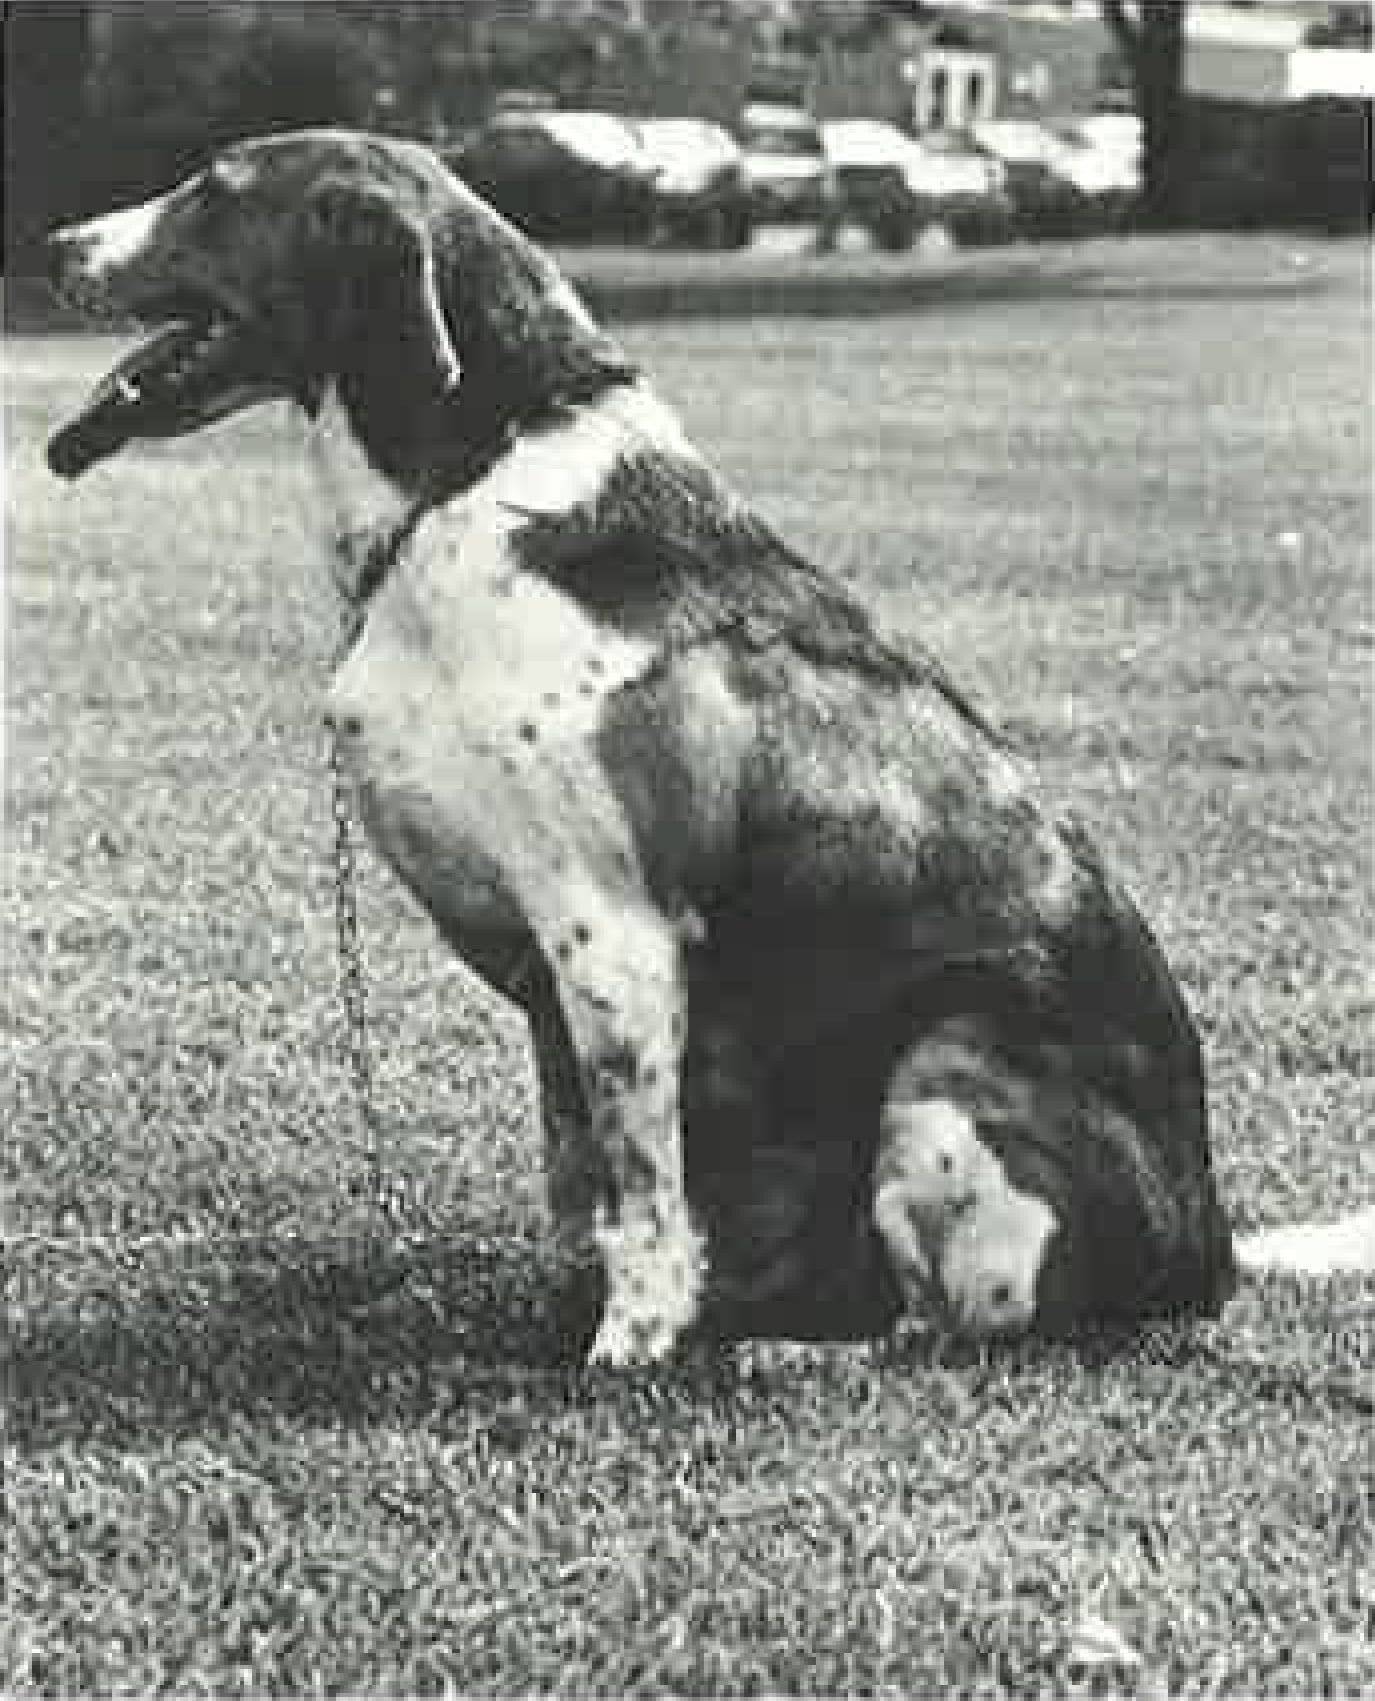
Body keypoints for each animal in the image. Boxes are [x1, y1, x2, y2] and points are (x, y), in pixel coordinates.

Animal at [45, 129, 1375, 1353]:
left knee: (954, 1327)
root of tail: (1212, 1251)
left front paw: (625, 1350)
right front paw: (578, 1311)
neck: (475, 475)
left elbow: (639, 1189)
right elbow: (581, 1177)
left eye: (215, 189)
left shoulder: (614, 936)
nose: (55, 242)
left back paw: (778, 1348)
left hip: (942, 1074)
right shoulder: (559, 990)